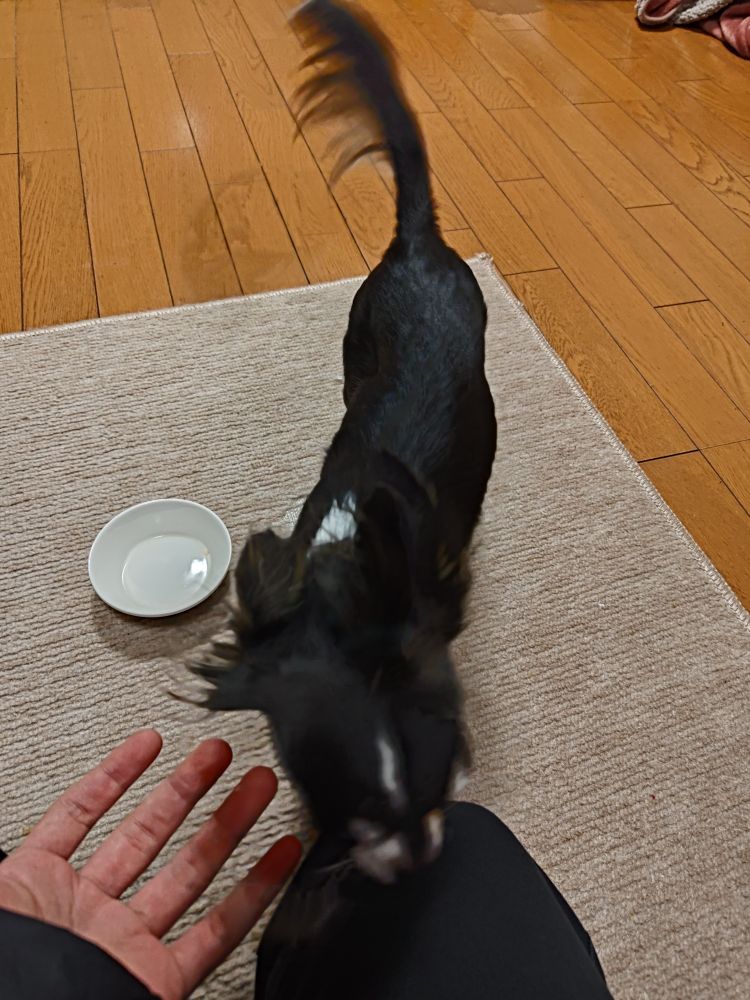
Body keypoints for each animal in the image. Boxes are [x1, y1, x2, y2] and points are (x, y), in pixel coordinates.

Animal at [187, 0, 497, 885]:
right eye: (347, 810)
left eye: (442, 779)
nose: (417, 857)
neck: (345, 576)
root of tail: (419, 241)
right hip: (356, 342)